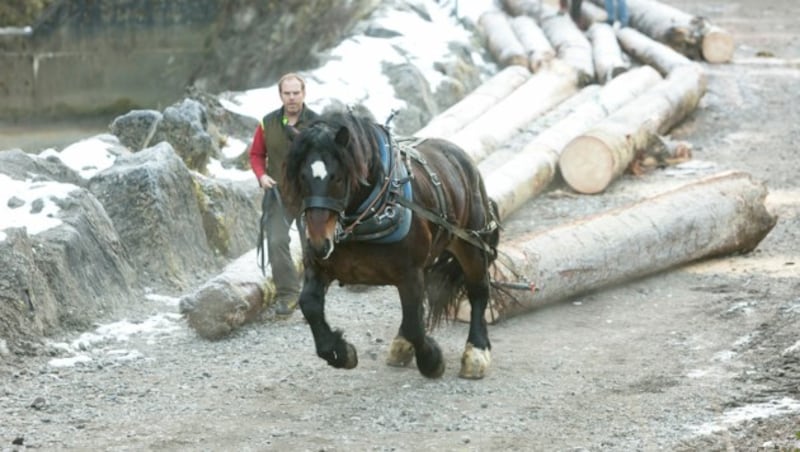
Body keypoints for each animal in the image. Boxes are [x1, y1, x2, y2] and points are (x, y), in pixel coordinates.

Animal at [282, 110, 500, 378]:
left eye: (337, 178)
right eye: (302, 176)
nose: (318, 244)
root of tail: (461, 158)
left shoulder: (409, 272)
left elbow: (415, 323)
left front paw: (432, 361)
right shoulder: (320, 266)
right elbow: (309, 304)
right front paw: (340, 353)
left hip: (470, 242)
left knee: (478, 289)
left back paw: (476, 352)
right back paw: (402, 345)